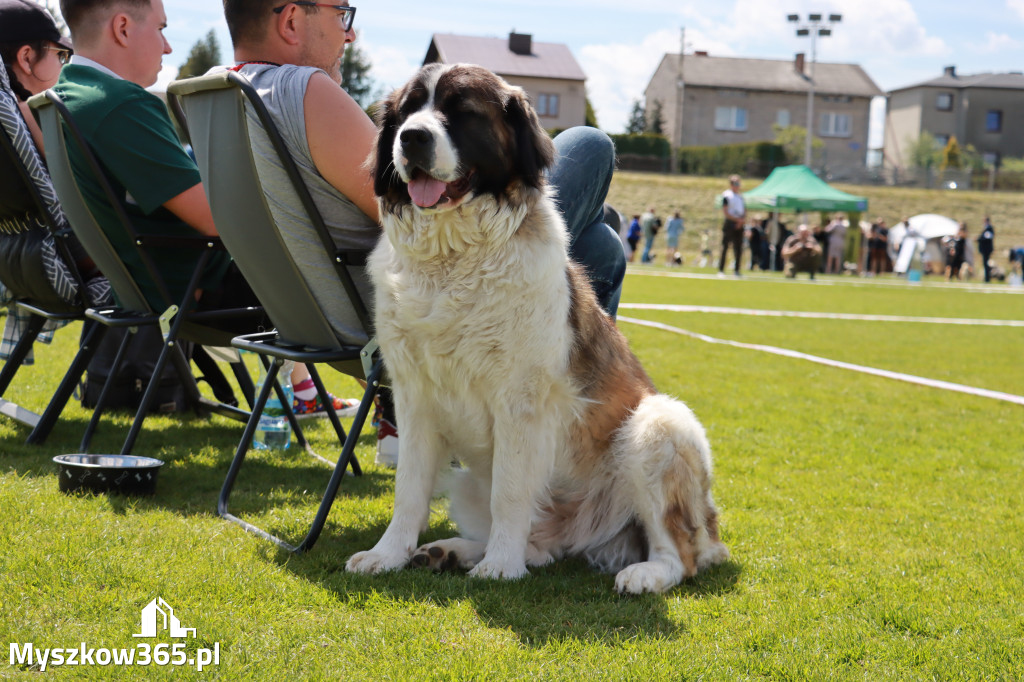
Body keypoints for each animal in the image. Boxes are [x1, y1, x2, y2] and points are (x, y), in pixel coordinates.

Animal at [346, 63, 729, 589]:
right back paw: (454, 551)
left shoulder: (521, 400)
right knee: (537, 545)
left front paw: (500, 569)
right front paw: (388, 554)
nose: (412, 138)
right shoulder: (414, 396)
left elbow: (510, 491)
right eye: (406, 112)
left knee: (682, 552)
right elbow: (409, 488)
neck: (452, 260)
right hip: (470, 483)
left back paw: (643, 573)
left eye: (463, 113)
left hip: (660, 425)